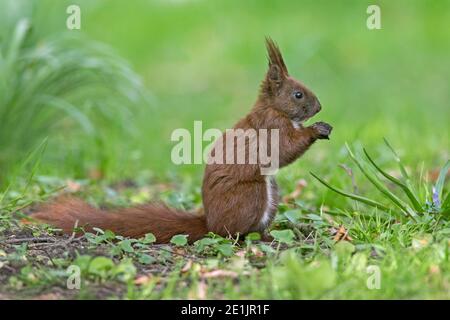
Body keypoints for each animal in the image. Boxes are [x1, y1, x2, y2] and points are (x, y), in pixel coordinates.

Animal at [30, 38, 330, 242]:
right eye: (298, 94)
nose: (319, 107)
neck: (275, 109)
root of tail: (210, 224)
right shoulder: (271, 126)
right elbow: (284, 150)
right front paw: (316, 130)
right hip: (252, 194)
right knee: (233, 234)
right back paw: (259, 237)